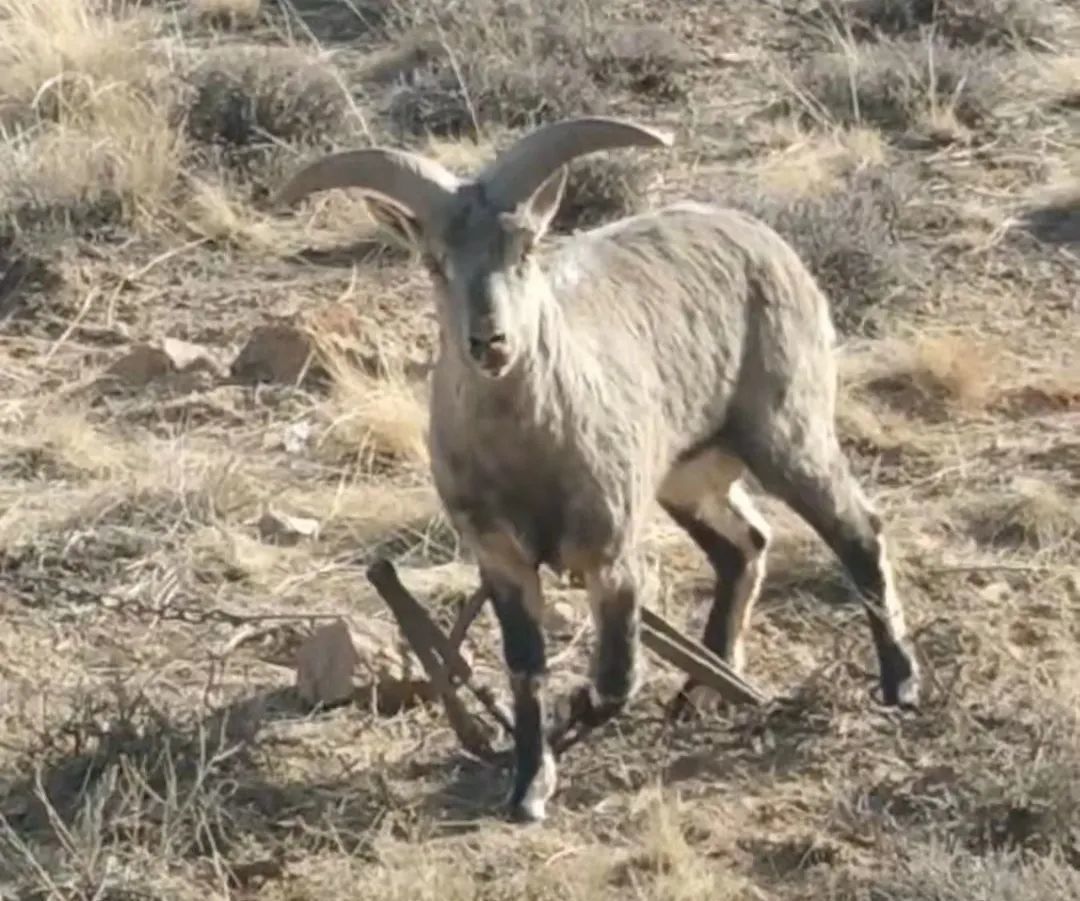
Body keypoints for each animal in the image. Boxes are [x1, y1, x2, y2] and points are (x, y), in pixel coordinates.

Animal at [276, 117, 920, 821]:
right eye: (433, 260)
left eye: (525, 248)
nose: (490, 342)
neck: (529, 457)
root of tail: (767, 240)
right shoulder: (500, 555)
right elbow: (525, 666)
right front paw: (530, 785)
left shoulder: (609, 552)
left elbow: (615, 679)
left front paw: (571, 719)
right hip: (685, 474)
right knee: (744, 544)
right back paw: (701, 691)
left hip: (786, 431)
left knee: (856, 528)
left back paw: (899, 682)